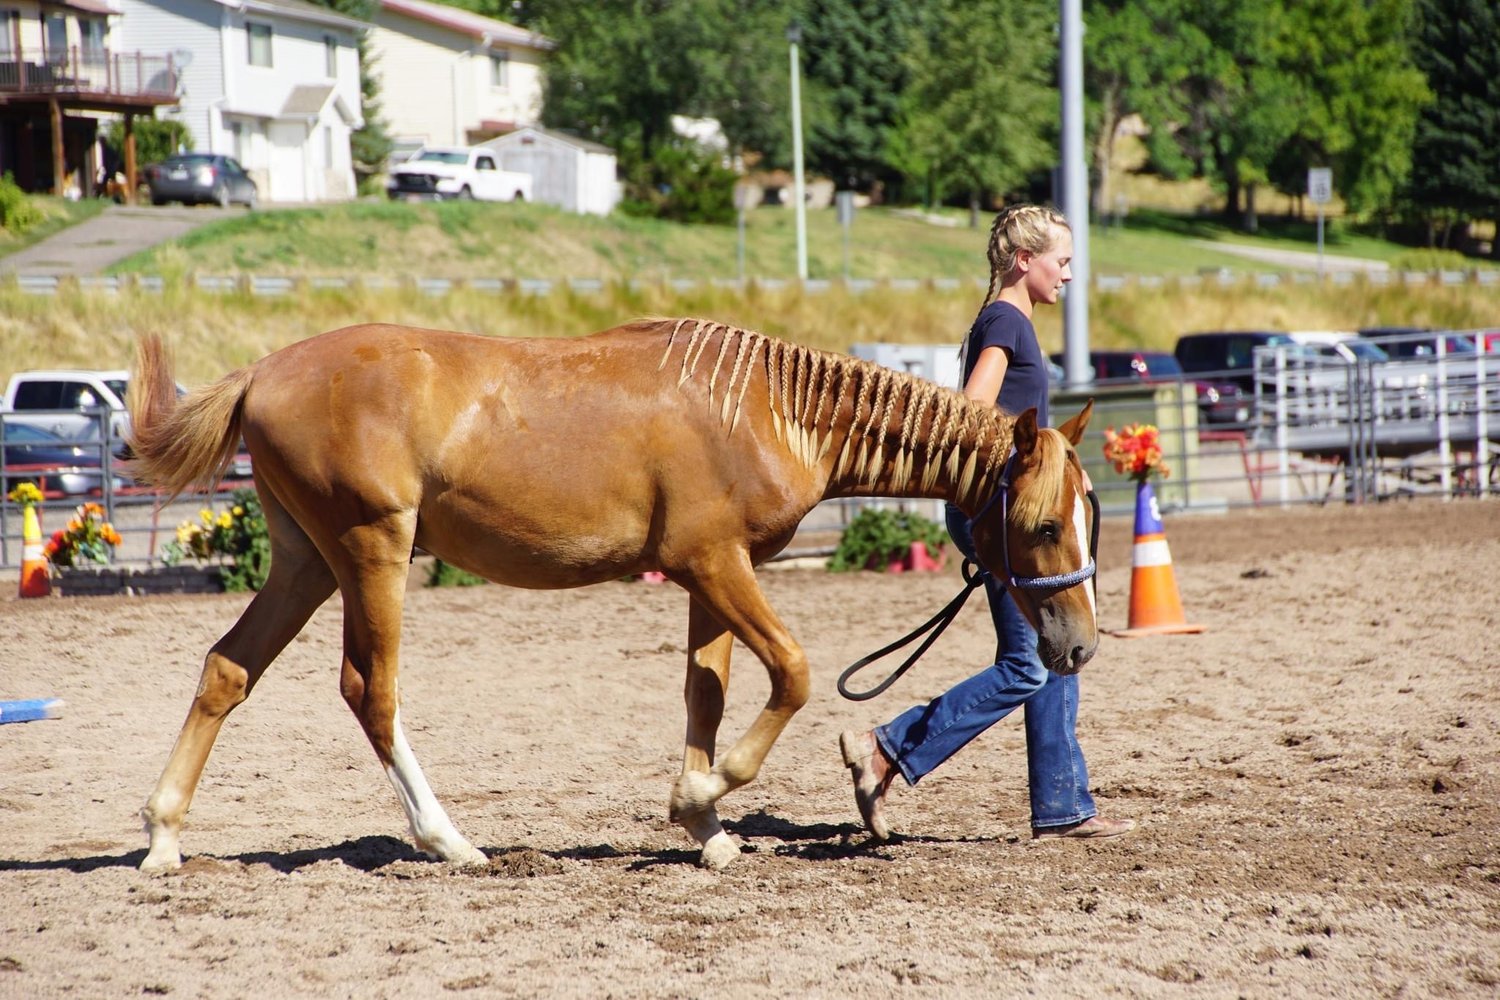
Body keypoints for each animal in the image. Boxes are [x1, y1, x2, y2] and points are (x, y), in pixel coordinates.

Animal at [126, 317, 1099, 872]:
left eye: (1091, 512)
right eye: (1045, 522)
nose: (1079, 645)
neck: (768, 407)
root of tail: (262, 372)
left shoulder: (713, 572)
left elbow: (706, 692)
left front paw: (706, 828)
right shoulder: (715, 563)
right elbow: (790, 672)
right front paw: (708, 792)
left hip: (306, 564)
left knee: (227, 670)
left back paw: (165, 839)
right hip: (372, 553)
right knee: (372, 692)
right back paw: (450, 842)